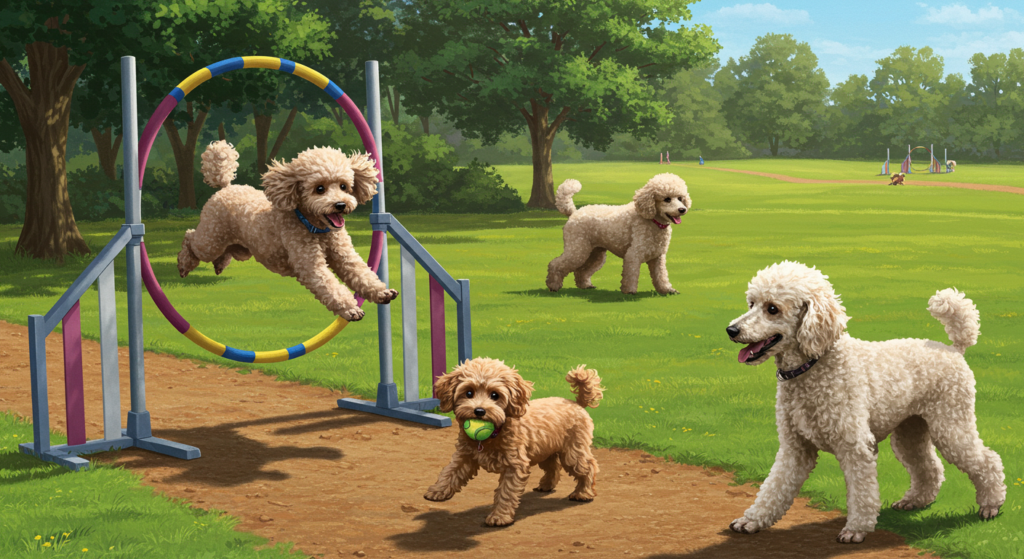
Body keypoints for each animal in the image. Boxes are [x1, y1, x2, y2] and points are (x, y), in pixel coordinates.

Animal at [178, 141, 393, 319]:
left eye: (344, 186)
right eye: (319, 189)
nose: (340, 205)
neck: (315, 228)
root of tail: (226, 187)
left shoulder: (344, 254)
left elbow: (360, 272)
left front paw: (382, 292)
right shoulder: (309, 264)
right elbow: (328, 283)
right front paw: (350, 309)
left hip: (241, 248)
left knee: (226, 250)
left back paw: (219, 265)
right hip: (211, 239)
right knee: (190, 237)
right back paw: (183, 265)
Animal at [421, 358, 602, 524]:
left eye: (495, 395)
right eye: (469, 393)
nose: (479, 411)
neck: (494, 433)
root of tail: (577, 403)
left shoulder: (515, 465)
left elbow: (506, 492)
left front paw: (499, 517)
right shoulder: (465, 456)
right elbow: (449, 472)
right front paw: (437, 491)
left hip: (572, 453)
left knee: (588, 467)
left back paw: (583, 493)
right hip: (544, 450)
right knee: (553, 467)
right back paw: (546, 485)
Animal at [544, 172, 688, 292]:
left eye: (680, 198)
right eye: (667, 199)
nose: (682, 209)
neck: (651, 220)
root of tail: (574, 212)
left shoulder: (658, 256)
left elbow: (661, 275)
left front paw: (667, 290)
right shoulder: (633, 254)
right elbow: (631, 275)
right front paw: (629, 292)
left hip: (595, 253)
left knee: (581, 270)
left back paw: (585, 285)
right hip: (577, 249)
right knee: (555, 264)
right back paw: (553, 286)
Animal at [724, 262, 1003, 544]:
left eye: (772, 308)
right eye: (751, 304)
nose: (731, 330)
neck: (815, 364)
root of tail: (954, 348)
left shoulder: (856, 446)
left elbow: (862, 492)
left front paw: (856, 529)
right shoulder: (795, 448)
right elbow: (775, 486)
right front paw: (752, 520)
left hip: (951, 422)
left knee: (987, 459)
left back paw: (991, 505)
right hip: (910, 430)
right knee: (929, 466)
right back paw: (914, 501)